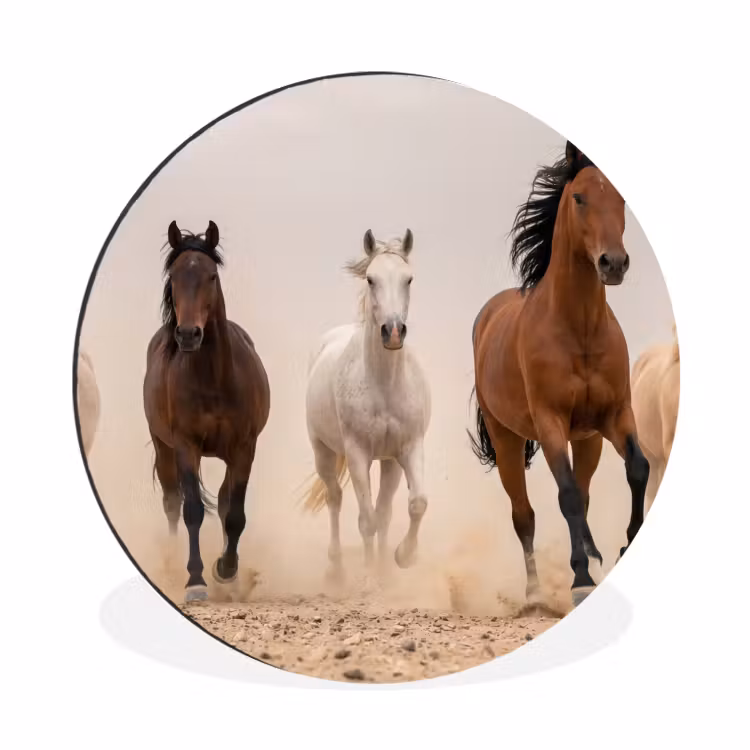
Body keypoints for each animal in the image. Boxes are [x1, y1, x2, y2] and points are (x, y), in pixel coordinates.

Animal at [143, 220, 270, 602]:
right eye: (174, 276)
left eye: (211, 276)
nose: (187, 334)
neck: (214, 378)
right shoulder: (186, 446)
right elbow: (193, 511)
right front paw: (195, 580)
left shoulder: (244, 448)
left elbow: (235, 514)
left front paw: (226, 570)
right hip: (163, 448)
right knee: (172, 502)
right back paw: (172, 565)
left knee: (226, 501)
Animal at [302, 229, 431, 585]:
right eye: (371, 279)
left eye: (409, 278)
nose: (393, 332)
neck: (383, 385)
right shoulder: (358, 453)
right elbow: (367, 520)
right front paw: (370, 576)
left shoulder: (407, 448)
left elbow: (414, 505)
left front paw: (401, 559)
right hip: (324, 452)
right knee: (335, 498)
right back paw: (336, 570)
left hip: (386, 462)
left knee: (382, 511)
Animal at [470, 141, 650, 608]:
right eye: (579, 198)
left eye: (621, 200)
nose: (613, 263)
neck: (579, 330)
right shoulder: (550, 422)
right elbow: (564, 495)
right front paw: (581, 578)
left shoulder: (615, 416)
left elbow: (637, 469)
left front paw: (624, 546)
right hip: (507, 439)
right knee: (525, 515)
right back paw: (535, 593)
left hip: (587, 440)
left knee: (584, 495)